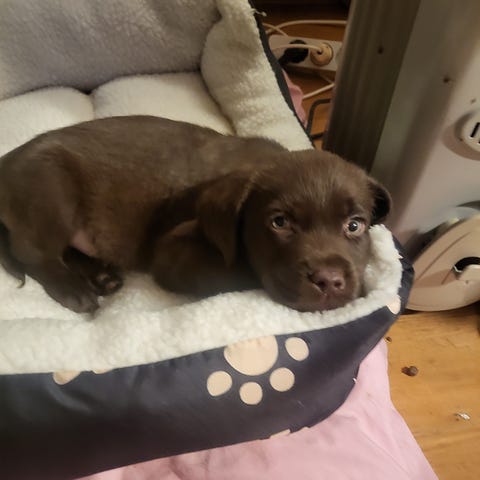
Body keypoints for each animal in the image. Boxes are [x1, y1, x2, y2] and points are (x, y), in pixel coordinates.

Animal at [0, 115, 390, 313]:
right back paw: (75, 291)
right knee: (33, 253)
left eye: (354, 226)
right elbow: (238, 274)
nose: (329, 281)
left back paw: (101, 275)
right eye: (279, 223)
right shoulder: (173, 252)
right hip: (50, 190)